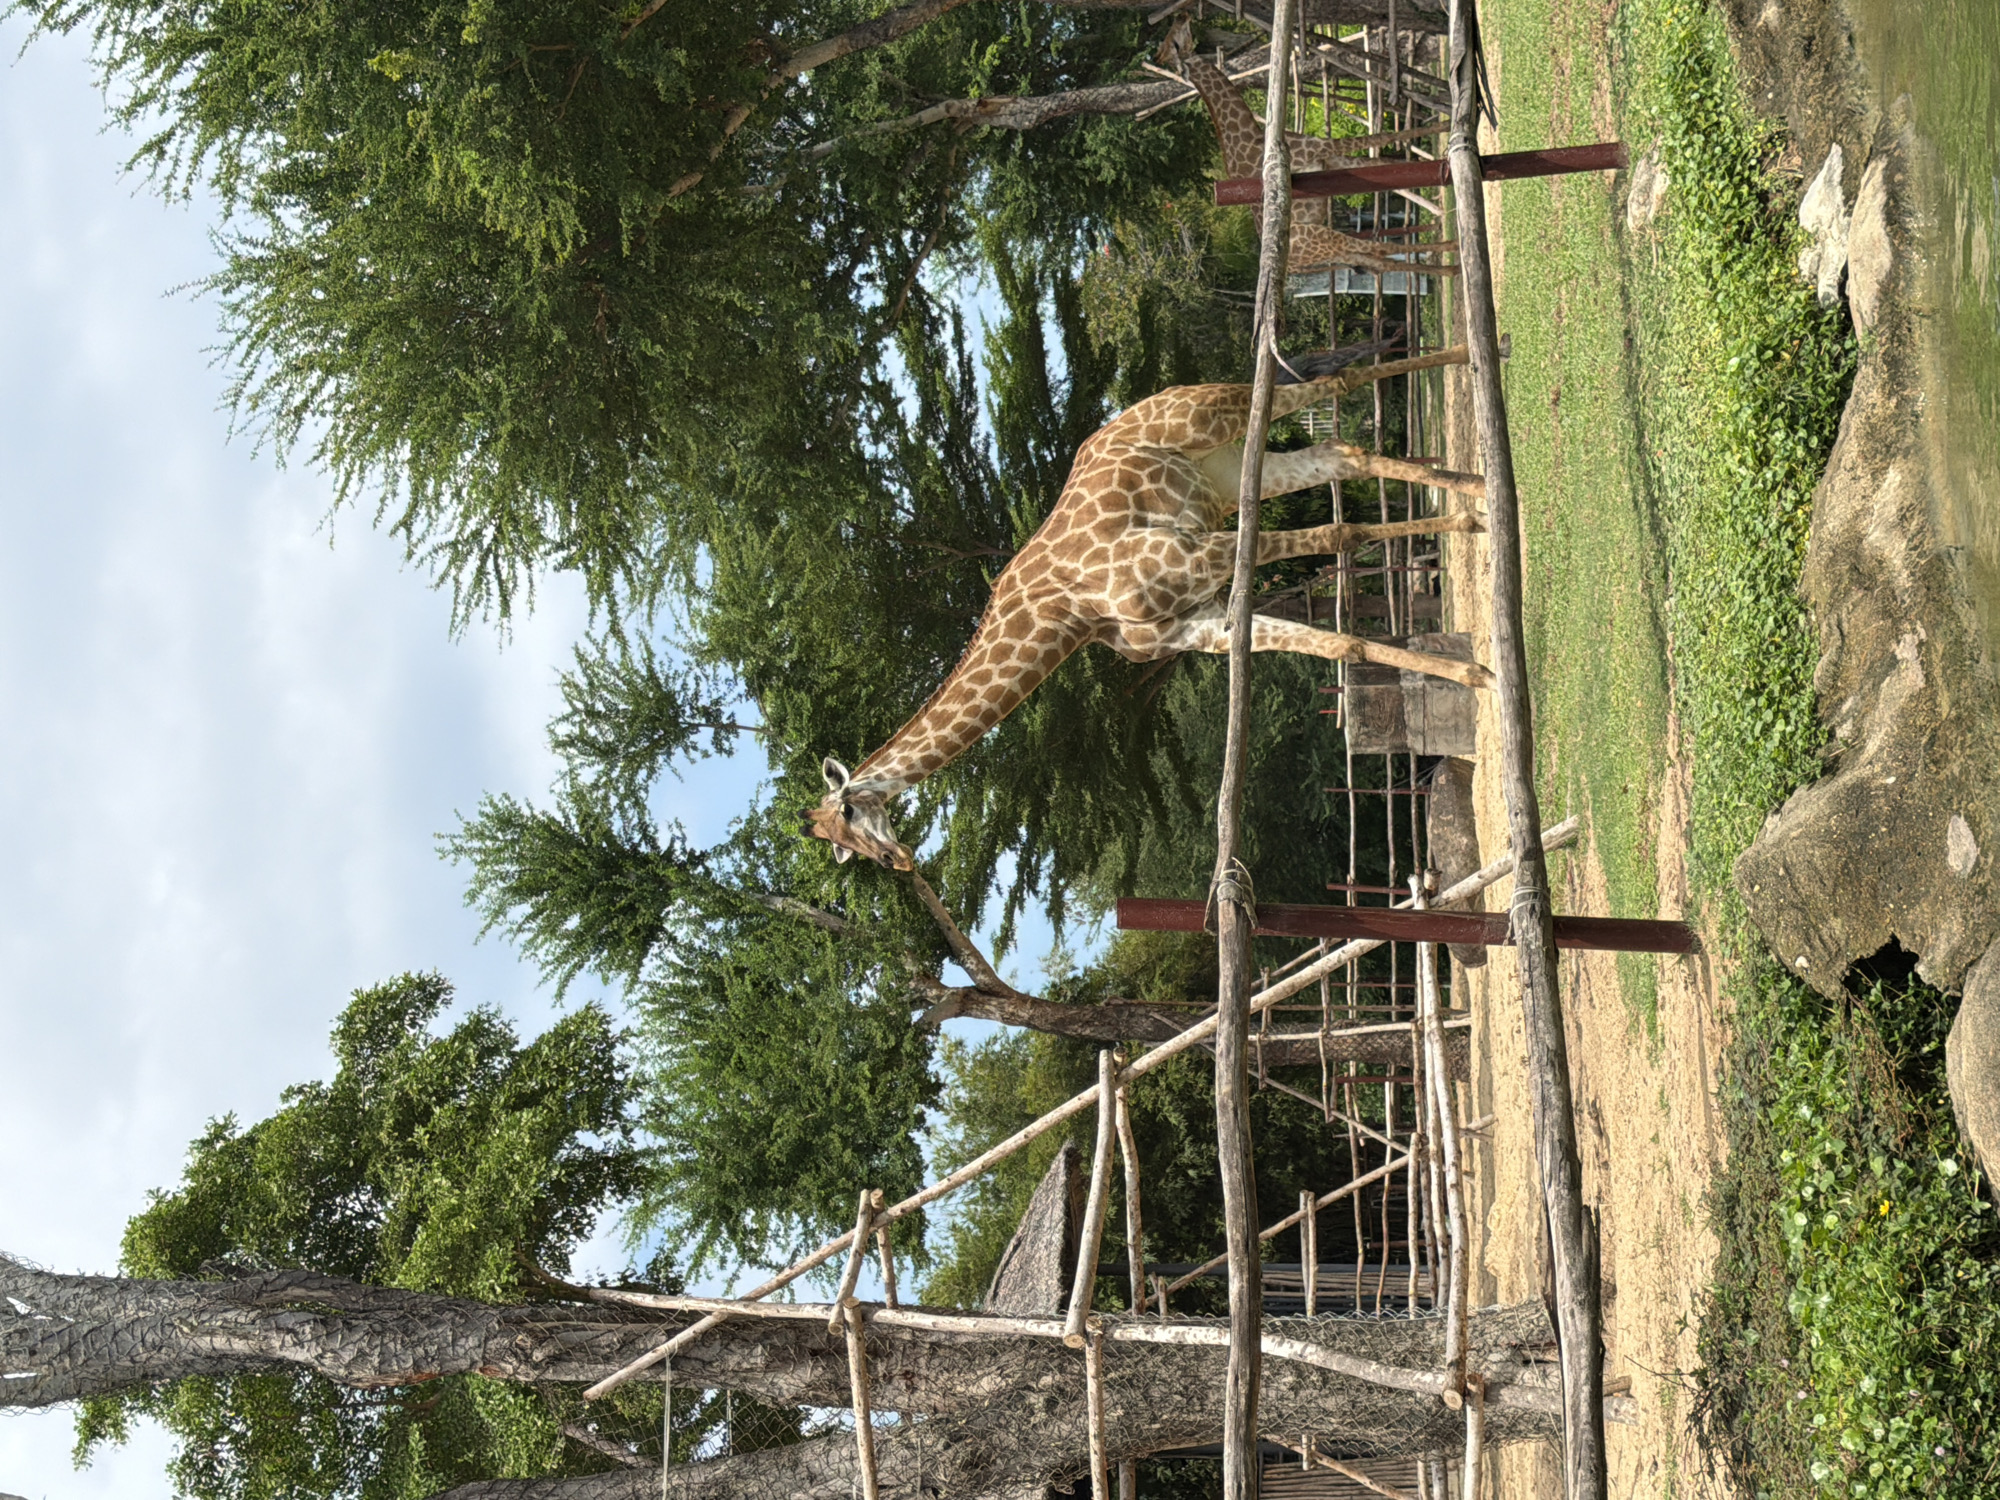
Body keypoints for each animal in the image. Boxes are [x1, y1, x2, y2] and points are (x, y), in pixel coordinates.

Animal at [805, 348, 1491, 869]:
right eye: (844, 851)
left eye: (848, 815)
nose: (897, 862)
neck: (1069, 614)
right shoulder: (1199, 621)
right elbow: (1338, 640)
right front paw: (1471, 674)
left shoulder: (1197, 552)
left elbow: (1339, 536)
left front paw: (1482, 665)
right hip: (1229, 470)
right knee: (1344, 453)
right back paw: (1472, 489)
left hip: (1217, 419)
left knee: (1335, 385)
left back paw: (1480, 397)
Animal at [1161, 20, 1458, 281]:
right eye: (1175, 41)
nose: (1184, 17)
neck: (1252, 137)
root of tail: (1293, 267)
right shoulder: (1324, 146)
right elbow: (1383, 137)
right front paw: (1450, 121)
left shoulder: (1330, 159)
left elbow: (1385, 164)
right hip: (1323, 240)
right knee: (1382, 249)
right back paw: (1452, 252)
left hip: (1333, 250)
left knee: (1379, 261)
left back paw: (1447, 267)